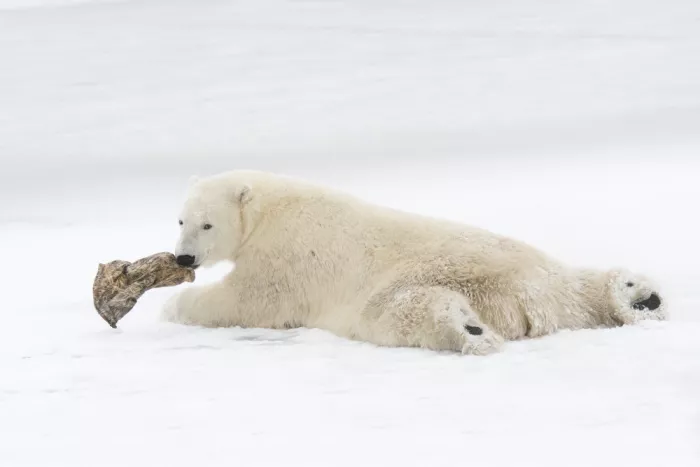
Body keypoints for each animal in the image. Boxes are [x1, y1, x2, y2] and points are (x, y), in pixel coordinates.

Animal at [162, 170, 667, 355]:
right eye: (180, 219)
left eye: (207, 224)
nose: (183, 256)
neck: (270, 208)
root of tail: (527, 295)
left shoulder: (286, 256)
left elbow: (247, 299)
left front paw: (172, 304)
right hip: (545, 276)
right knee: (582, 288)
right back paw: (640, 296)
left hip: (417, 274)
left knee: (402, 311)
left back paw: (468, 330)